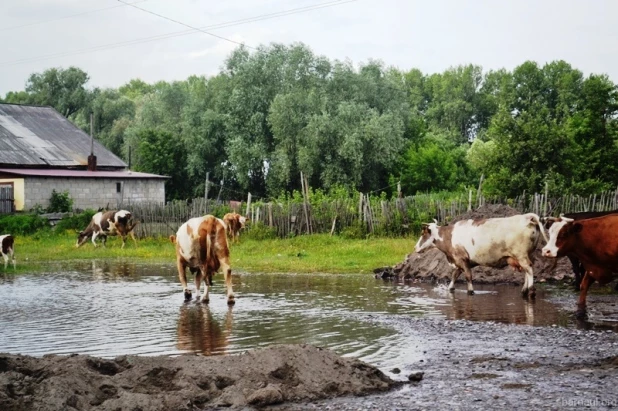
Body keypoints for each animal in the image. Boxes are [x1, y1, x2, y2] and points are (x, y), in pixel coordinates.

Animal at [414, 214, 544, 298]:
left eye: (422, 234)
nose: (415, 248)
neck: (450, 236)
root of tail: (528, 217)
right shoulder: (460, 262)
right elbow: (454, 276)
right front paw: (450, 289)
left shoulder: (462, 259)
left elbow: (468, 276)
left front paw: (471, 291)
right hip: (527, 254)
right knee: (528, 270)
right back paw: (524, 290)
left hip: (521, 255)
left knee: (529, 269)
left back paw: (531, 291)